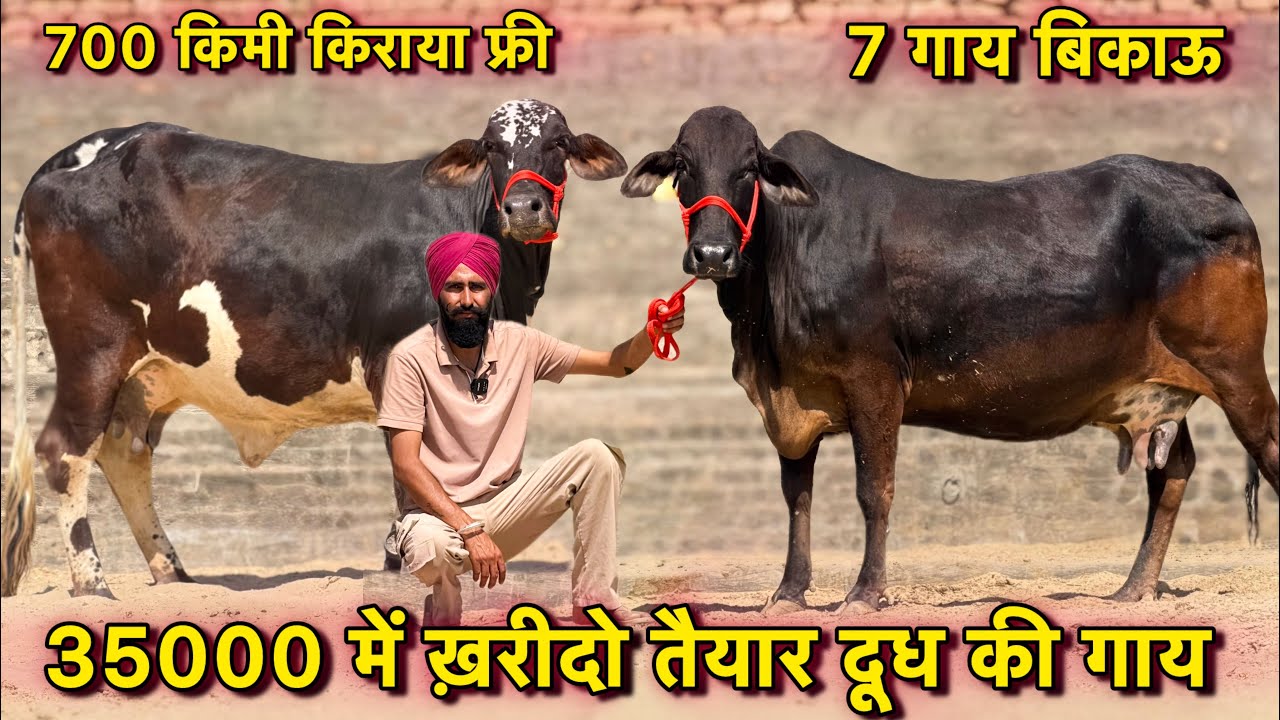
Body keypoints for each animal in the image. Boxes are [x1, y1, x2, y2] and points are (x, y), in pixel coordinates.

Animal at [1, 99, 628, 598]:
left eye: (558, 143)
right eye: (493, 146)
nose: (524, 208)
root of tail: (98, 146)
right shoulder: (392, 366)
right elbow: (407, 477)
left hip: (149, 372)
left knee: (124, 453)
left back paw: (174, 575)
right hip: (94, 348)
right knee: (66, 451)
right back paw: (93, 585)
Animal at [621, 106, 1279, 613]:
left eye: (749, 168)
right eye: (683, 165)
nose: (712, 254)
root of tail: (1200, 175)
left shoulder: (875, 382)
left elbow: (874, 490)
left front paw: (864, 594)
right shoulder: (791, 401)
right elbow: (797, 496)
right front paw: (788, 592)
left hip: (1238, 373)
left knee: (1265, 448)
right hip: (1162, 389)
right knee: (1172, 470)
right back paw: (1132, 590)